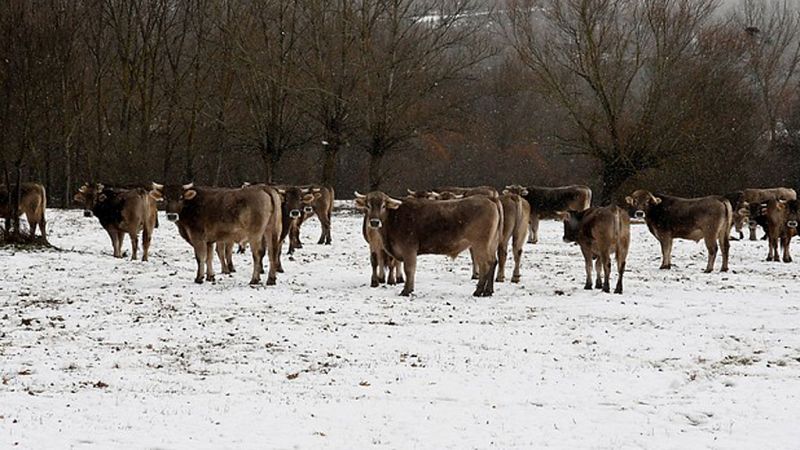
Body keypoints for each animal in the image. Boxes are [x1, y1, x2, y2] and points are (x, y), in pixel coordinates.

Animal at [153, 183, 282, 284]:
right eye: (165, 197)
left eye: (180, 197)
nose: (172, 216)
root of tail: (264, 188)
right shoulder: (209, 240)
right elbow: (209, 257)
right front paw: (210, 276)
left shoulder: (198, 237)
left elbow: (200, 257)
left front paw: (199, 278)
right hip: (271, 230)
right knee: (272, 252)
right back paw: (271, 279)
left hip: (255, 234)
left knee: (258, 254)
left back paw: (254, 279)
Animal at [354, 192, 500, 298]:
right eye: (368, 206)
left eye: (383, 206)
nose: (374, 222)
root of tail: (489, 199)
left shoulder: (409, 249)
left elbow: (409, 269)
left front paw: (406, 290)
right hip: (490, 244)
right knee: (493, 262)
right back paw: (488, 291)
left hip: (480, 244)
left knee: (485, 265)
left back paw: (478, 291)